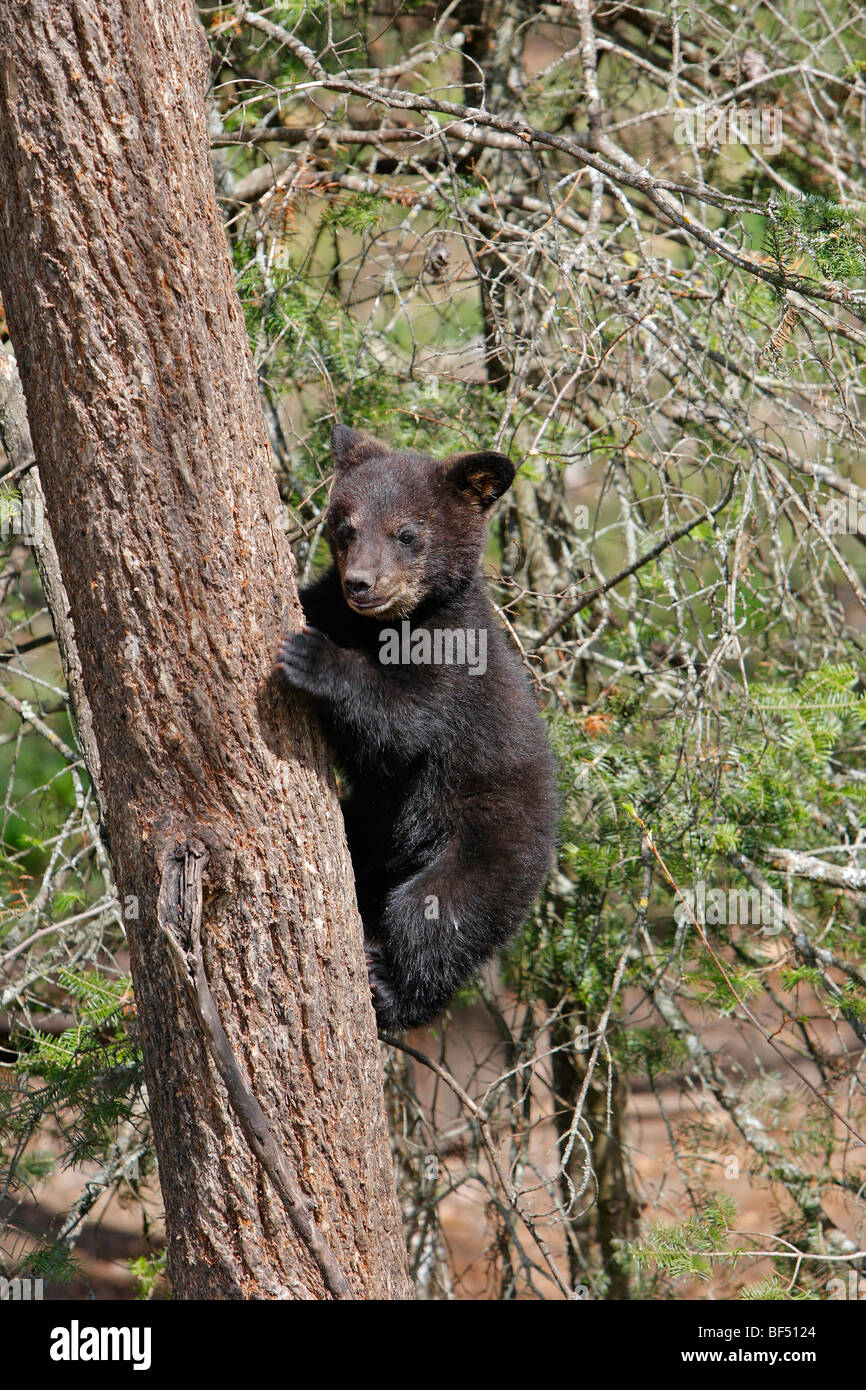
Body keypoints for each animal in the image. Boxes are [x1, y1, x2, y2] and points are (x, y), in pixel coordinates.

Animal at [279, 422, 561, 1034]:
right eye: (345, 527)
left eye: (406, 534)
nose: (362, 584)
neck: (389, 626)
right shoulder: (334, 604)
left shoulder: (455, 663)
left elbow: (403, 723)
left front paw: (314, 657)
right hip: (373, 825)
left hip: (482, 848)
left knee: (434, 918)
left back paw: (392, 991)